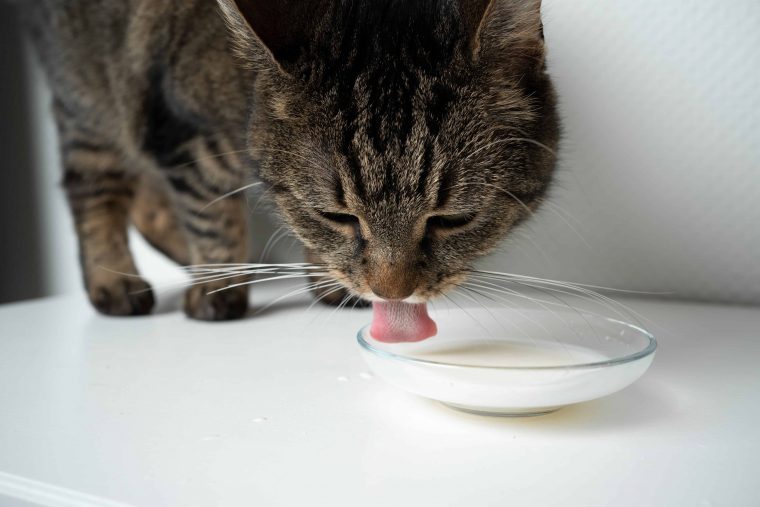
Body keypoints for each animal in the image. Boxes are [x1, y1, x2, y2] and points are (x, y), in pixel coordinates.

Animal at [22, 0, 560, 322]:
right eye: (337, 215)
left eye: (453, 219)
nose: (391, 294)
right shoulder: (185, 131)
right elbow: (212, 217)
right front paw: (219, 286)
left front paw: (327, 277)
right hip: (88, 101)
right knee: (93, 191)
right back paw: (116, 280)